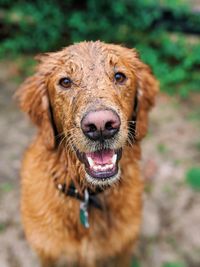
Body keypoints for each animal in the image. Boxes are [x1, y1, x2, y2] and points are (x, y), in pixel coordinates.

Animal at [16, 40, 159, 266]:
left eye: (119, 76)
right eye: (65, 82)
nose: (101, 125)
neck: (86, 194)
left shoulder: (123, 250)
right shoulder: (47, 253)